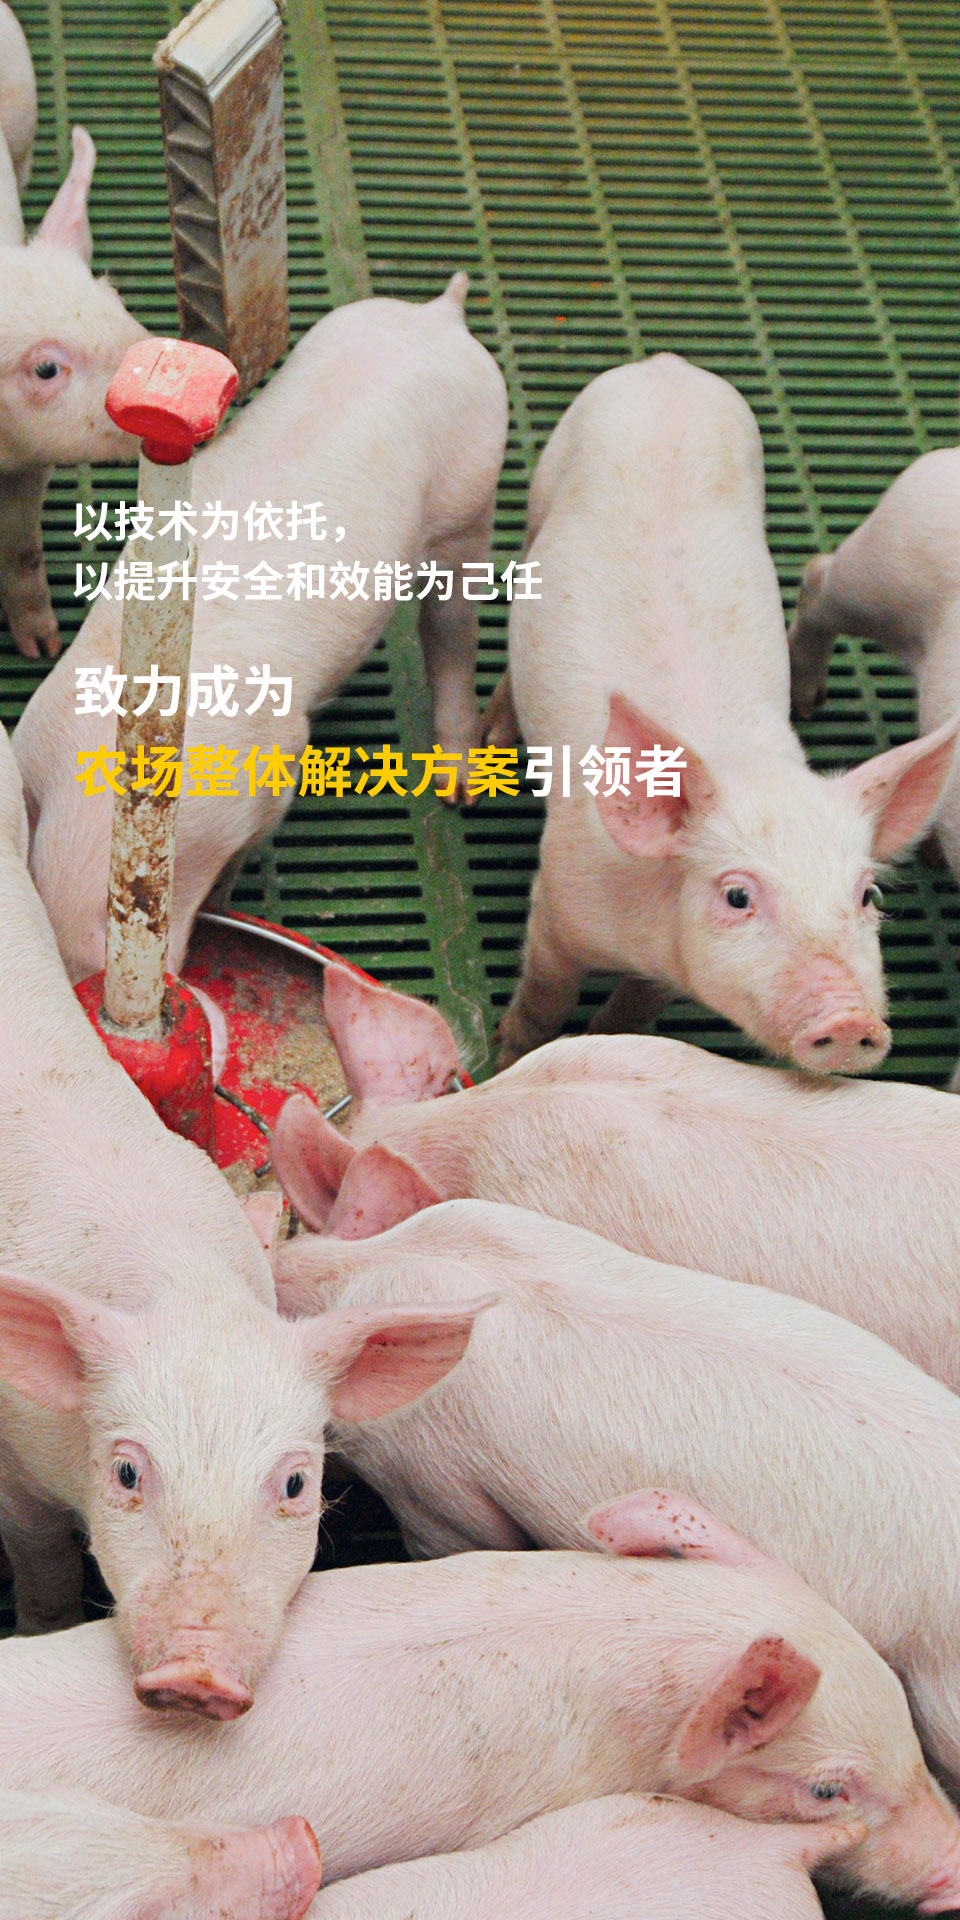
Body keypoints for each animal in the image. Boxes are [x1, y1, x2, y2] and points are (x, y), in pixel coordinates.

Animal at [0, 722, 489, 1716]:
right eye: (127, 1471)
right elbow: (38, 1563)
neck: (176, 1282)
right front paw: (39, 1629)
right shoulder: (16, 1469)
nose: (197, 1675)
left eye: (297, 1482)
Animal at [13, 276, 509, 980]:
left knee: (454, 627)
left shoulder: (276, 765)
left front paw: (224, 895)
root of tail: (440, 318)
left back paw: (456, 788)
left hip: (472, 496)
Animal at [492, 353, 958, 1074]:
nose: (852, 1021)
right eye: (738, 895)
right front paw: (505, 1057)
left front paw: (611, 1036)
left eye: (867, 896)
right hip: (546, 485)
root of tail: (667, 366)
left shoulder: (662, 972)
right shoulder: (558, 905)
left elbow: (635, 1007)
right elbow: (543, 1000)